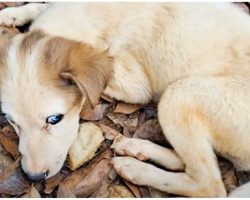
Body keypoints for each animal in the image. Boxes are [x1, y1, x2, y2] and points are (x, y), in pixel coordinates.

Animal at [0, 2, 250, 197]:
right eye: (12, 121)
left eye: (54, 119)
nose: (33, 177)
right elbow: (42, 6)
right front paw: (12, 14)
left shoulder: (135, 85)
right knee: (187, 162)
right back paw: (137, 148)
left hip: (179, 94)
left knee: (209, 186)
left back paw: (136, 169)